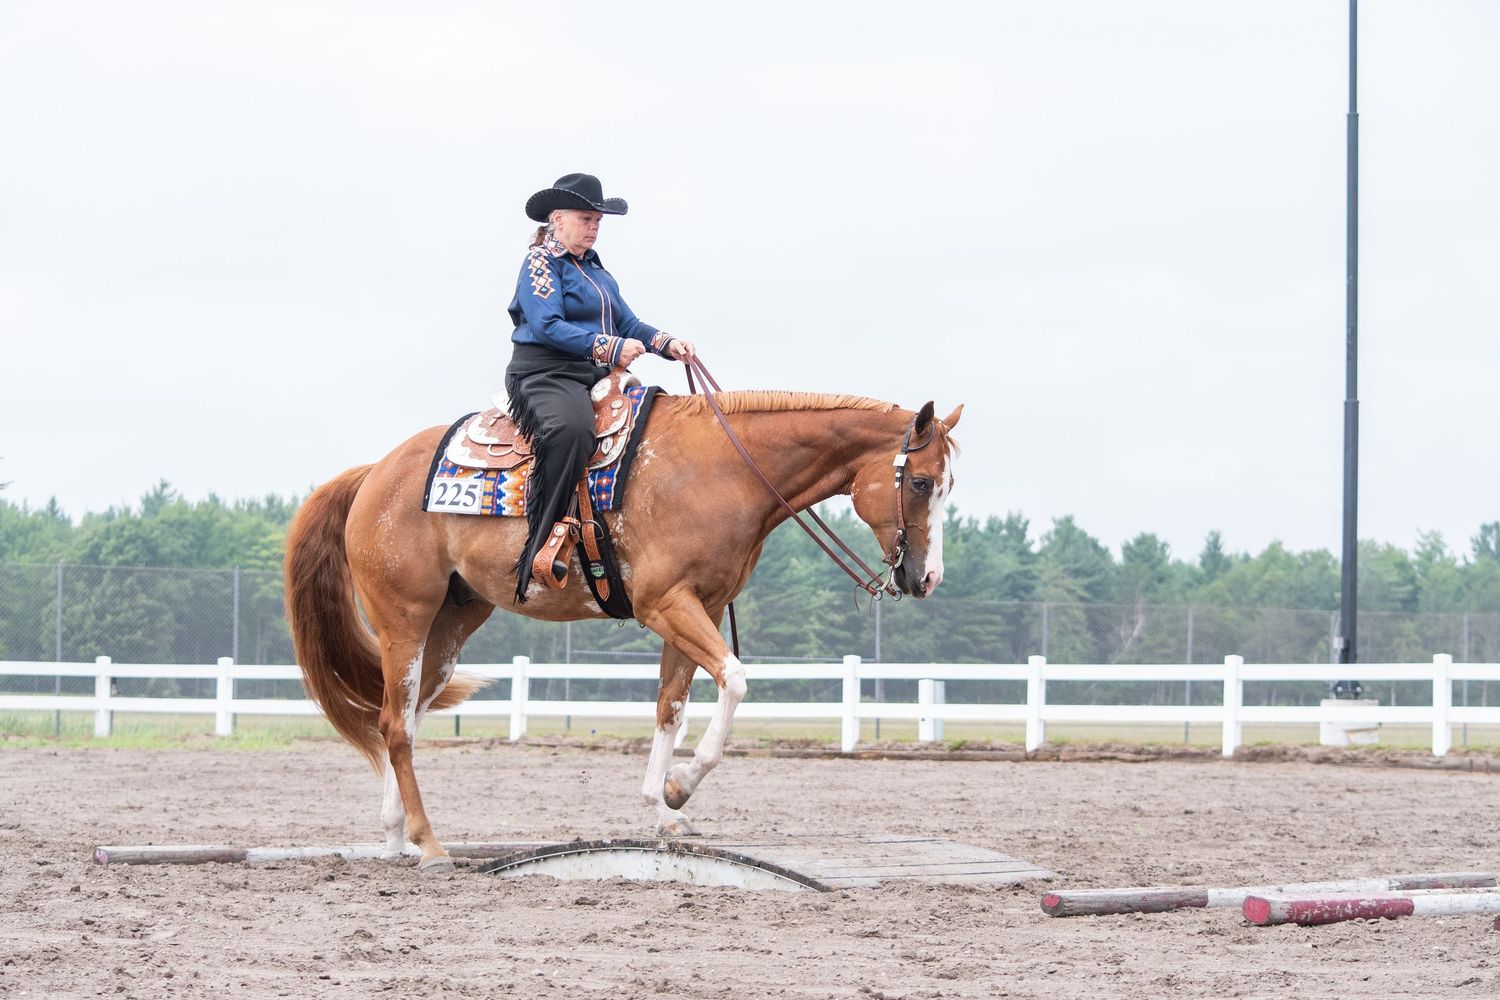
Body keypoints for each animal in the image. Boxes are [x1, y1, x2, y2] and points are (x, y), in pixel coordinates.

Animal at [284, 386, 962, 872]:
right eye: (921, 482)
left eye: (948, 483)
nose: (927, 578)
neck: (723, 470)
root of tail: (374, 473)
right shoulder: (666, 604)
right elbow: (735, 680)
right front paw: (681, 787)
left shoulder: (698, 607)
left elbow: (671, 706)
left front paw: (661, 810)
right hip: (405, 617)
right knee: (396, 723)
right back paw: (428, 844)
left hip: (455, 620)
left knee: (403, 718)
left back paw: (396, 835)